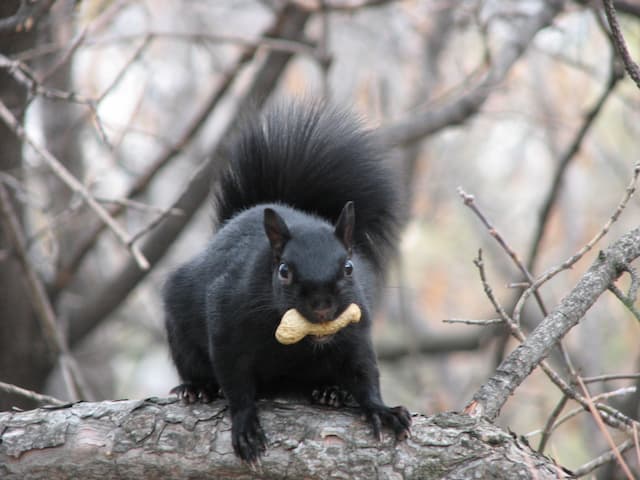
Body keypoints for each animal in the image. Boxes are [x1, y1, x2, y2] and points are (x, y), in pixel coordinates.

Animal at [162, 100, 412, 462]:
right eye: (284, 271)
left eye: (349, 268)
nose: (322, 306)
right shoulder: (226, 318)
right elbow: (235, 379)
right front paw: (245, 424)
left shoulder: (356, 328)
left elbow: (364, 370)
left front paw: (381, 410)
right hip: (180, 323)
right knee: (193, 362)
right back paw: (196, 388)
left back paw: (331, 392)